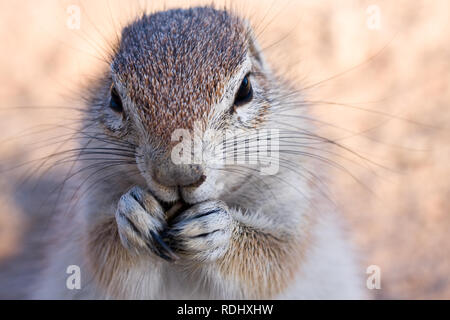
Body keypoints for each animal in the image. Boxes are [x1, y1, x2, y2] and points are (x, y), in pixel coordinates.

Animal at [33, 5, 366, 300]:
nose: (178, 175)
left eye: (245, 89)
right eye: (114, 97)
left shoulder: (292, 197)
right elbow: (103, 255)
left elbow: (276, 260)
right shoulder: (92, 199)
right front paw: (133, 216)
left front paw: (217, 229)